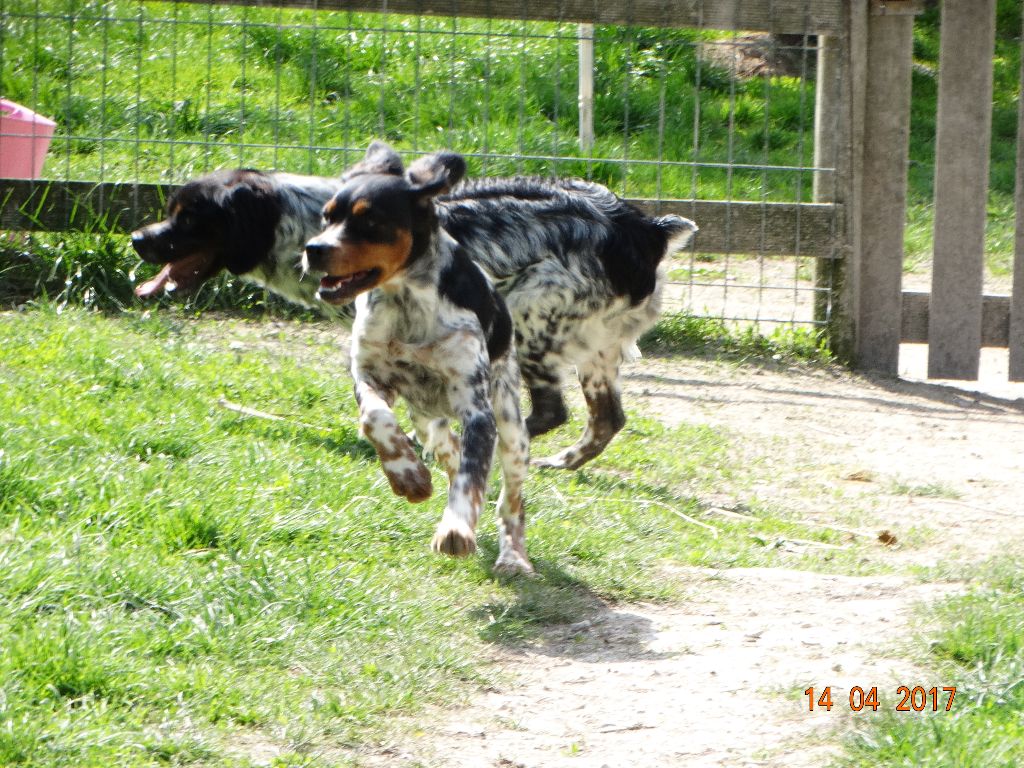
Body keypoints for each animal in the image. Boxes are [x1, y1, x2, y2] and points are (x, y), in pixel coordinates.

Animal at [304, 142, 533, 575]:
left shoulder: (477, 409)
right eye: (327, 217)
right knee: (447, 447)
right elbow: (375, 420)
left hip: (512, 429)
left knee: (511, 500)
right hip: (428, 419)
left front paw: (456, 528)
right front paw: (409, 478)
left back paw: (513, 556)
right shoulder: (369, 375)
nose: (314, 249)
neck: (405, 303)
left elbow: (471, 479)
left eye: (370, 220)